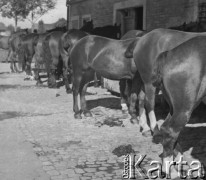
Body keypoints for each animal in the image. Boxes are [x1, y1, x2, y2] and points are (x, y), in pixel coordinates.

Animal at [149, 35, 206, 178]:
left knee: (166, 129)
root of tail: (169, 54)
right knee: (171, 131)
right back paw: (172, 172)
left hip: (175, 108)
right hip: (185, 108)